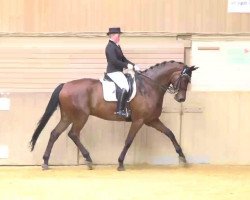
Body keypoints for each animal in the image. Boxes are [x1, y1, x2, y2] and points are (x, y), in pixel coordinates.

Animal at [29, 60, 197, 170]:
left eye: (188, 80)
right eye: (184, 79)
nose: (180, 99)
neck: (149, 87)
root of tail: (65, 85)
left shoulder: (152, 120)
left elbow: (170, 133)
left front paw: (182, 157)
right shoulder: (139, 120)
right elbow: (128, 141)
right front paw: (120, 163)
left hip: (67, 117)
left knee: (54, 133)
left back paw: (46, 162)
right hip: (81, 117)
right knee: (73, 134)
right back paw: (88, 160)